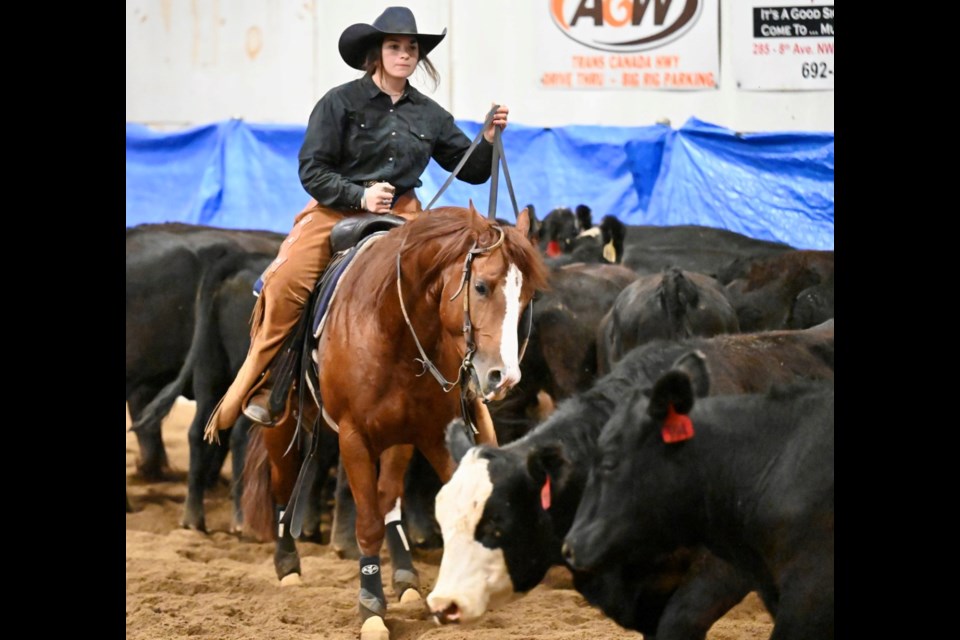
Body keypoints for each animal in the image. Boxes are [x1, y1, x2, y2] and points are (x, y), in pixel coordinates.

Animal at [235, 206, 544, 640]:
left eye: (526, 297)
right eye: (481, 287)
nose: (505, 377)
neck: (390, 323)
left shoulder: (433, 432)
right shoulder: (354, 438)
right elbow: (367, 523)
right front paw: (371, 607)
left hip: (399, 438)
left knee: (389, 499)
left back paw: (405, 578)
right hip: (282, 424)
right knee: (283, 484)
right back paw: (288, 566)